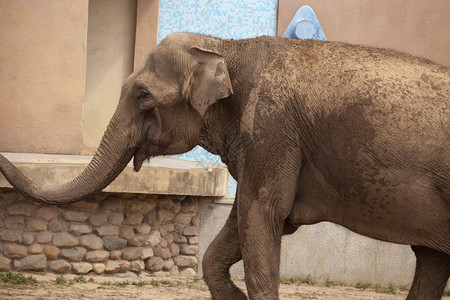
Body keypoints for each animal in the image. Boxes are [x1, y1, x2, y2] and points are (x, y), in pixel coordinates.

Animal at [0, 31, 450, 298]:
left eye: (143, 95)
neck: (227, 45)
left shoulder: (271, 131)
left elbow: (262, 214)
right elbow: (236, 228)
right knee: (431, 259)